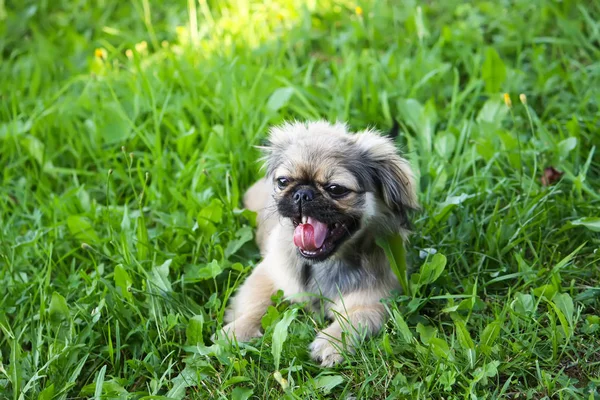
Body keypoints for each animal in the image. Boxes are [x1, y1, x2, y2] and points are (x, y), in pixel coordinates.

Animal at [219, 119, 418, 366]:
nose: (303, 193)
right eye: (283, 182)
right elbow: (256, 303)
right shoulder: (269, 273)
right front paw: (238, 332)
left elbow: (355, 318)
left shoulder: (375, 298)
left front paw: (332, 342)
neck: (323, 263)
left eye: (336, 189)